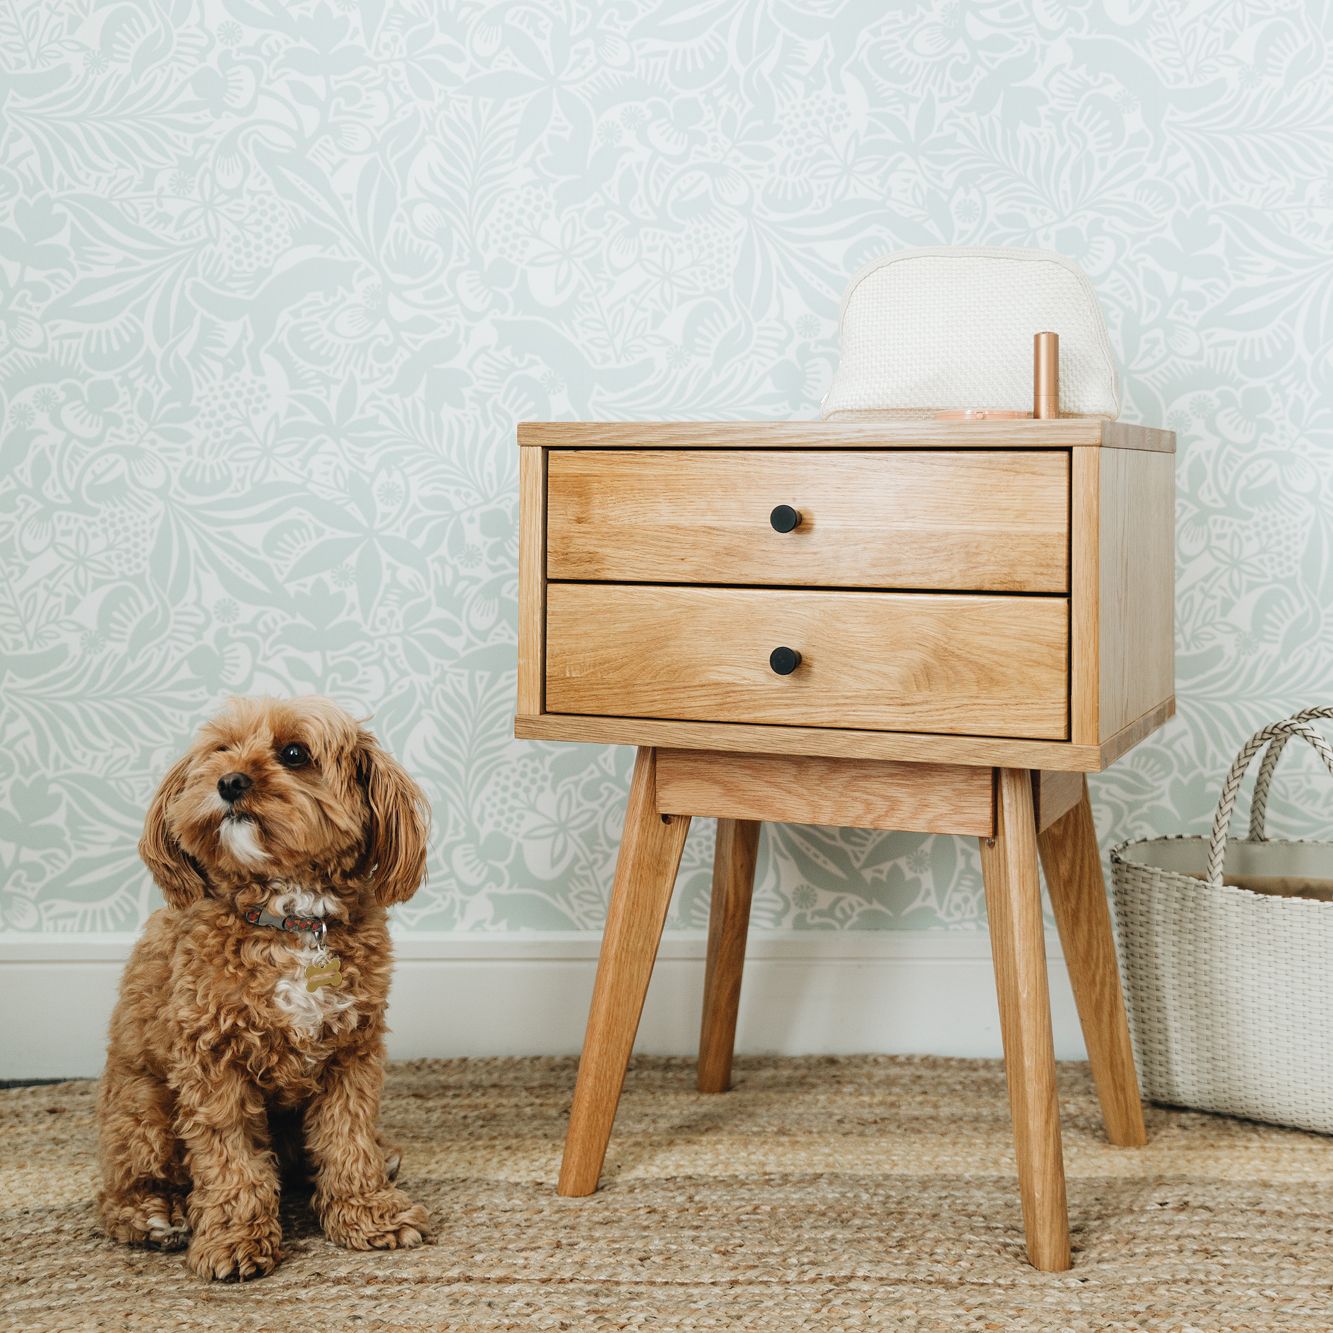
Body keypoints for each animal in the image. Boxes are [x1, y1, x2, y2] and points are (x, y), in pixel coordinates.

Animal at [98, 698, 431, 1279]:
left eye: (295, 753)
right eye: (220, 750)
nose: (229, 781)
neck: (292, 919)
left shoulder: (351, 1053)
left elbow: (347, 1139)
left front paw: (367, 1213)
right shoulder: (211, 1062)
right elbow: (230, 1159)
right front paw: (234, 1239)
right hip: (143, 1107)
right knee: (122, 1188)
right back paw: (156, 1216)